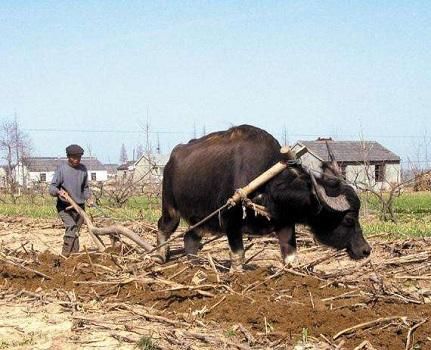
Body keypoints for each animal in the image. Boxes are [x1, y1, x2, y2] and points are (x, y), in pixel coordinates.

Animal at [157, 124, 372, 270]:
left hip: (201, 220)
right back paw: (160, 257)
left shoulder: (285, 223)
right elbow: (238, 255)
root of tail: (171, 160)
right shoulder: (230, 220)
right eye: (349, 219)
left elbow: (291, 257)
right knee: (164, 226)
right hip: (171, 207)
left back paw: (195, 265)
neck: (267, 186)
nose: (366, 250)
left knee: (190, 237)